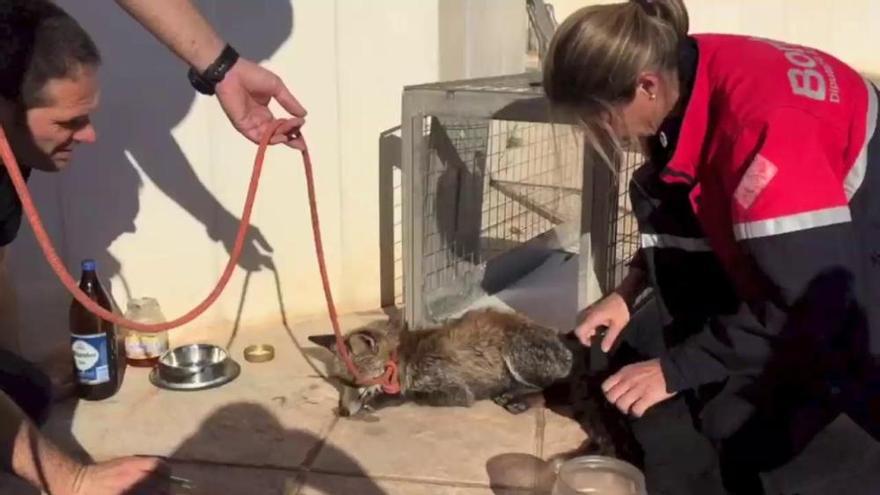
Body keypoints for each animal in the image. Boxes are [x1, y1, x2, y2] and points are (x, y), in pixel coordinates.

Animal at [312, 310, 576, 418]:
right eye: (339, 383)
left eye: (355, 382)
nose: (343, 413)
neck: (405, 359)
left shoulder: (457, 391)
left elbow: (410, 396)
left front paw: (379, 402)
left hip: (517, 357)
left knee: (551, 386)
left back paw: (516, 398)